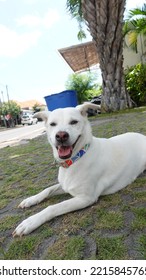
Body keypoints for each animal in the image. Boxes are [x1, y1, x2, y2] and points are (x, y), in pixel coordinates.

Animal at [12, 104, 146, 237]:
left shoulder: (85, 198)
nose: (61, 135)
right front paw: (31, 199)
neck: (75, 159)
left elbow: (54, 207)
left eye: (74, 122)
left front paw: (30, 222)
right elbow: (47, 189)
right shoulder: (65, 186)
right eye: (52, 124)